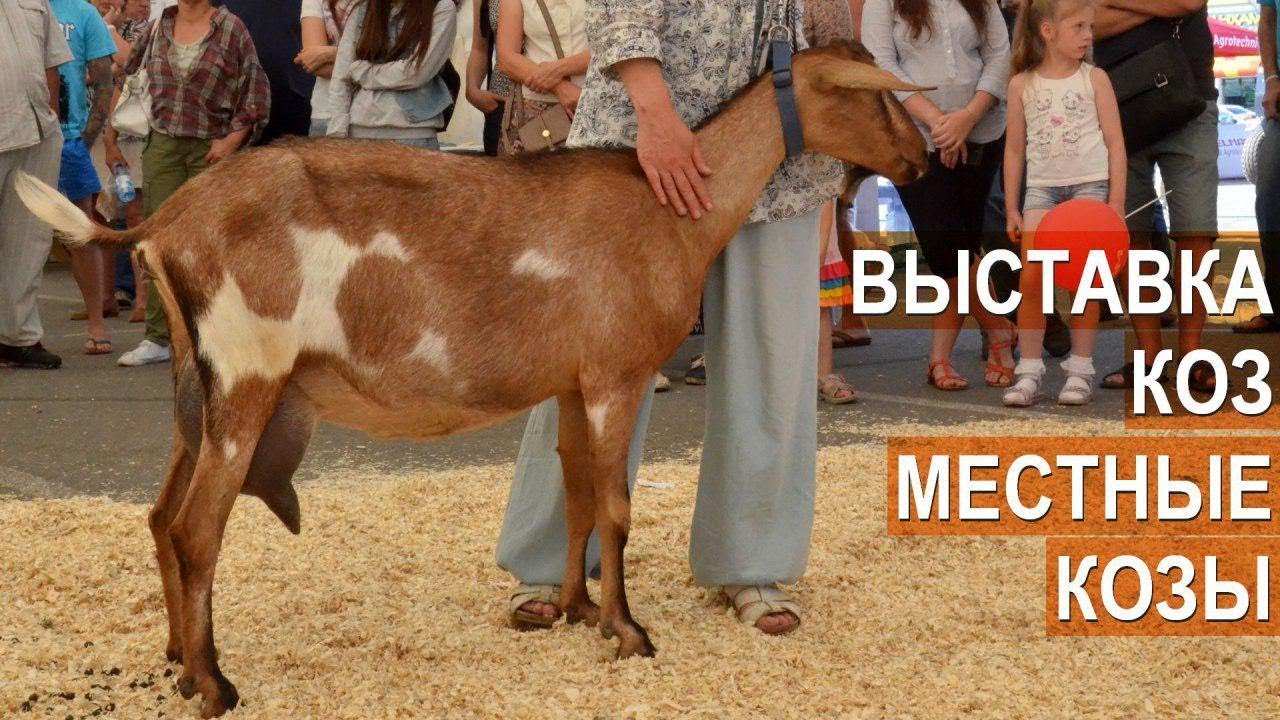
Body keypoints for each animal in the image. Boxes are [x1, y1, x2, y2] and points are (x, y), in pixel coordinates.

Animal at [18, 42, 927, 718]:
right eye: (879, 98)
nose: (922, 158)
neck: (671, 210)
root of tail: (166, 221)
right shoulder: (617, 372)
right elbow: (617, 506)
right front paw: (628, 631)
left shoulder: (571, 381)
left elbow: (578, 495)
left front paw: (575, 609)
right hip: (246, 378)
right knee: (194, 530)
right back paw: (214, 683)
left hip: (196, 393)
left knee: (158, 516)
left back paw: (177, 657)